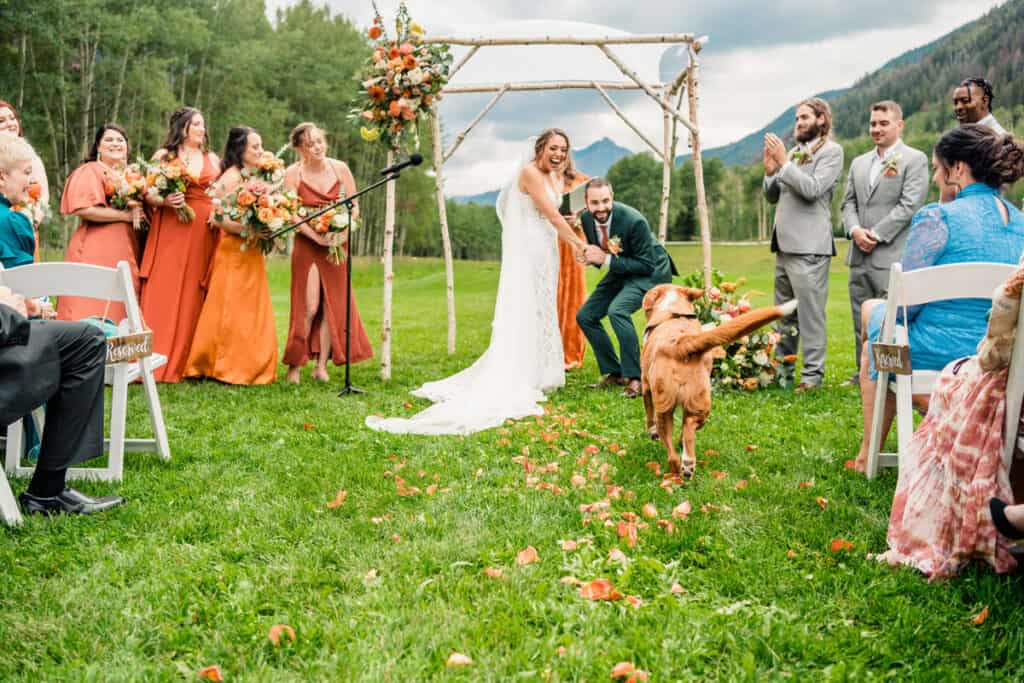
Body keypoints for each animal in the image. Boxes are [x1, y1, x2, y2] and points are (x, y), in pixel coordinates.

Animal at [638, 286, 798, 479]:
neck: (672, 310)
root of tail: (680, 344)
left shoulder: (646, 385)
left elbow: (648, 414)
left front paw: (651, 432)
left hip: (664, 406)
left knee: (671, 451)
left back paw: (676, 471)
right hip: (701, 402)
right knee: (689, 425)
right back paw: (688, 463)